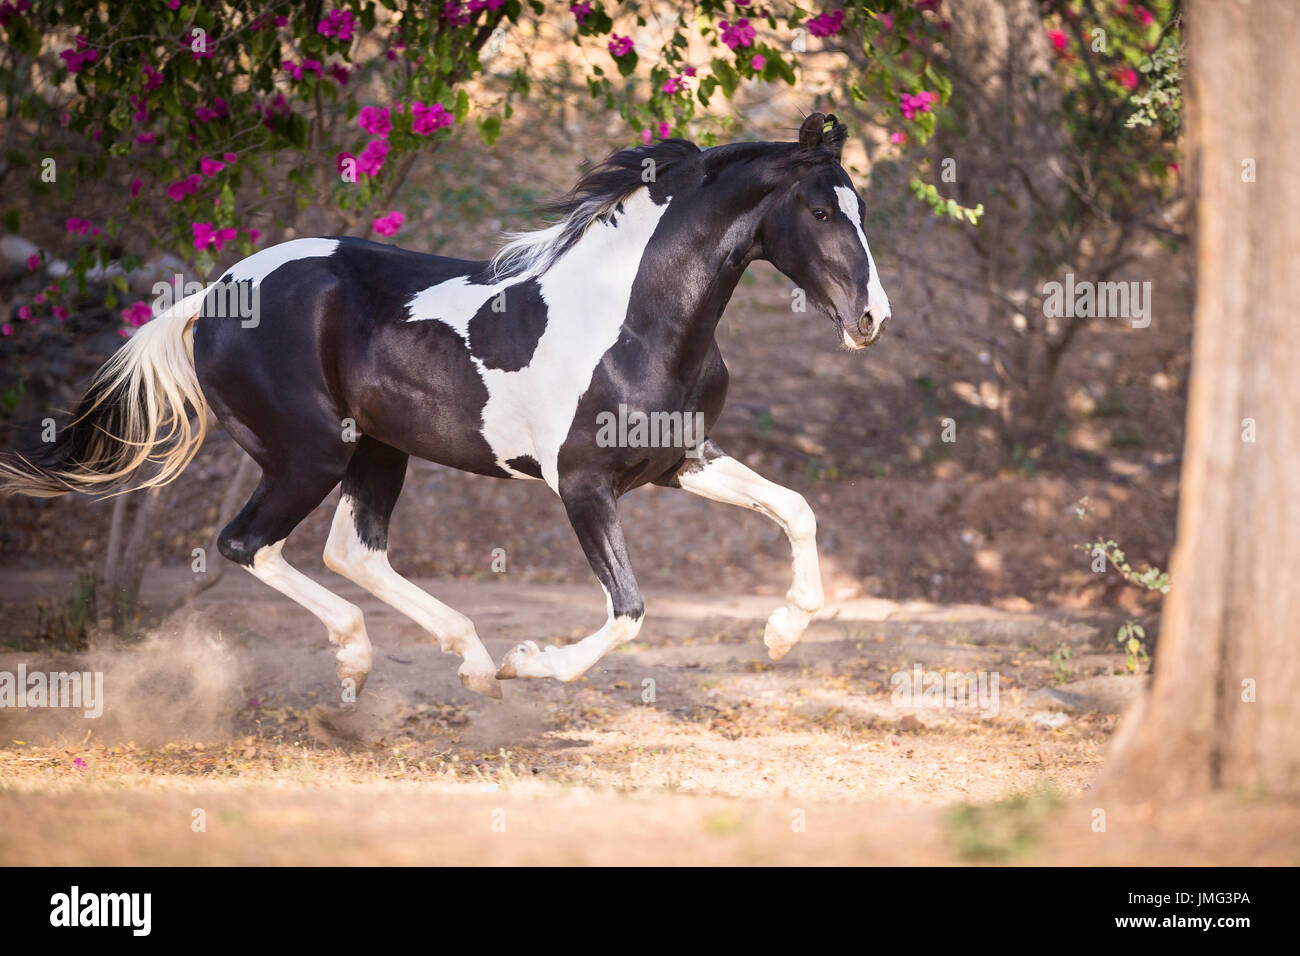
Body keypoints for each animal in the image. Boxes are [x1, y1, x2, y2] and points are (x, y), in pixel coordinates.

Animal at [0, 111, 892, 702]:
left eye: (859, 210)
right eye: (820, 212)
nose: (871, 319)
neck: (633, 317)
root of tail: (213, 296)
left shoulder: (680, 462)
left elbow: (796, 509)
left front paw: (781, 633)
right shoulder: (581, 485)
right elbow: (631, 609)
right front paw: (535, 663)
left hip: (375, 449)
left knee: (352, 552)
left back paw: (464, 659)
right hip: (311, 452)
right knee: (247, 544)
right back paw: (371, 658)